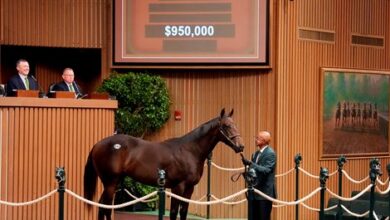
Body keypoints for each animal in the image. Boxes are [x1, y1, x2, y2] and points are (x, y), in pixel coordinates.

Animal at [84, 108, 244, 220]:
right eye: (226, 125)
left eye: (235, 124)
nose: (240, 147)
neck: (189, 150)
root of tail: (97, 144)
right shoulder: (178, 187)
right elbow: (173, 212)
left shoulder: (189, 188)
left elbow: (183, 212)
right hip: (110, 183)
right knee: (104, 207)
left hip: (114, 182)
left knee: (102, 206)